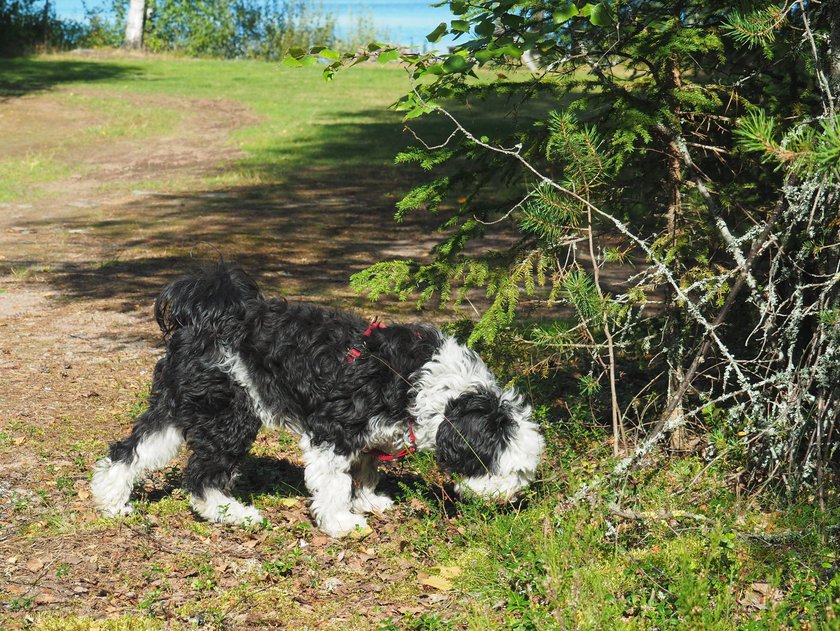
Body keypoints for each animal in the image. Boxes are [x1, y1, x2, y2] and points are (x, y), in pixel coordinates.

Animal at [92, 264, 544, 536]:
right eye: (505, 469)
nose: (512, 499)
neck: (424, 383)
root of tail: (211, 317)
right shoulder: (333, 432)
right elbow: (334, 483)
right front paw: (342, 520)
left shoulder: (370, 436)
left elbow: (365, 471)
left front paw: (368, 501)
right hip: (231, 418)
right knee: (201, 476)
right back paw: (230, 512)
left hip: (179, 406)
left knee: (129, 450)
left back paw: (110, 500)